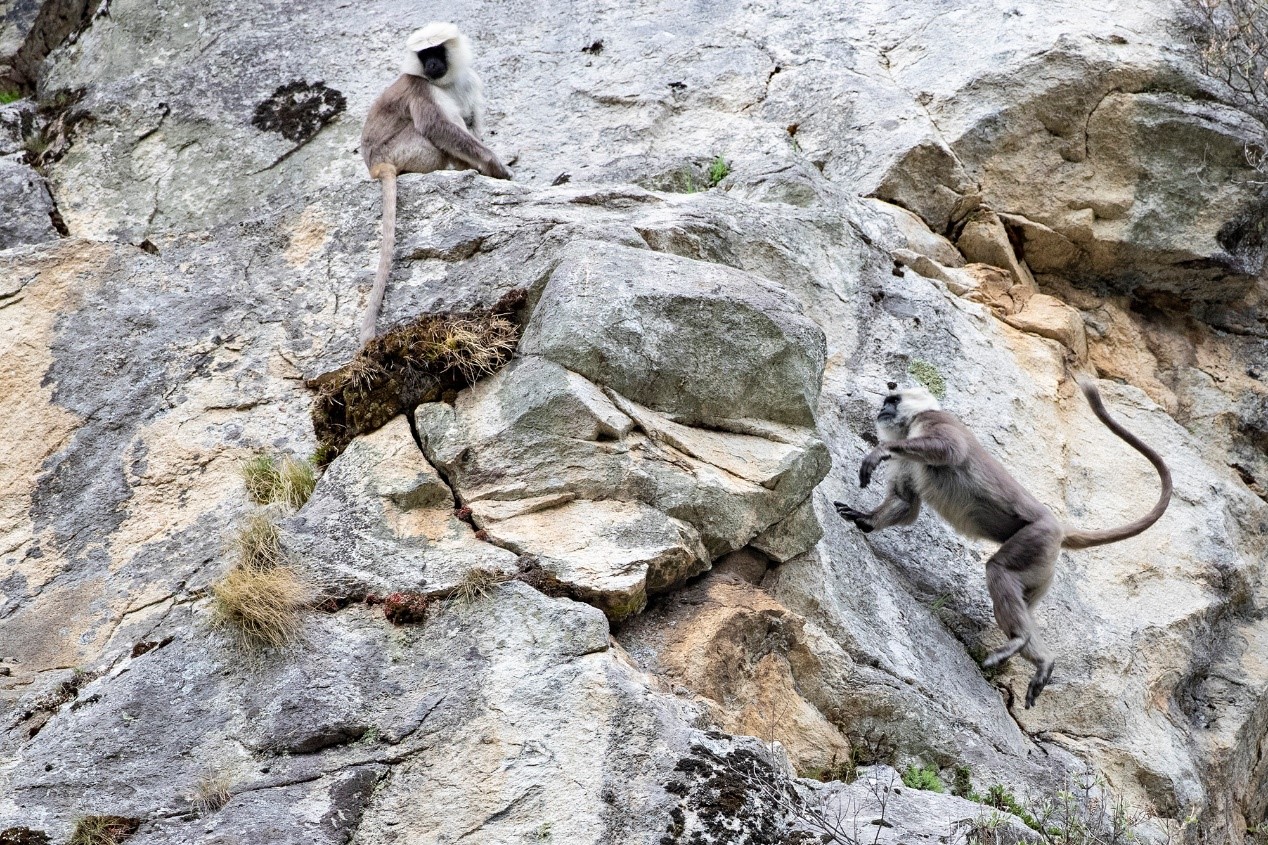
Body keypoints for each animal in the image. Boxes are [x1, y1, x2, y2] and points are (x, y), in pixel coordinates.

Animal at [357, 24, 509, 345]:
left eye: (437, 51)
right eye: (423, 54)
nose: (431, 65)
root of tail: (375, 165)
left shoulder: (469, 80)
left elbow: (472, 121)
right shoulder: (419, 86)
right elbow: (437, 126)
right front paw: (494, 166)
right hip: (403, 150)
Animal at [836, 375, 1171, 705]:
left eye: (893, 400)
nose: (883, 410)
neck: (911, 423)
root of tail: (1059, 527)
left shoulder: (933, 421)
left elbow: (950, 450)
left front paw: (880, 451)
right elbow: (905, 503)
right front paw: (864, 518)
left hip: (1036, 539)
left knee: (998, 570)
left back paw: (1019, 640)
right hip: (1042, 567)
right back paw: (1043, 660)